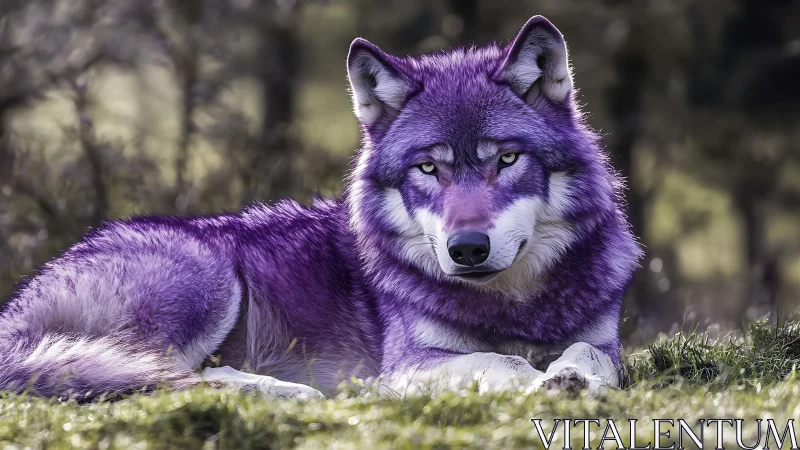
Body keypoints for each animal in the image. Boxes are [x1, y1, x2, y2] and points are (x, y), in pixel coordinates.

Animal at [0, 16, 640, 401]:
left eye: (506, 159)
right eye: (427, 169)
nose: (467, 249)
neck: (518, 308)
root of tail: (15, 312)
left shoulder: (604, 337)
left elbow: (594, 353)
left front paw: (573, 374)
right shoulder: (410, 363)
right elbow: (501, 363)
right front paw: (539, 378)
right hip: (205, 278)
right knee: (171, 374)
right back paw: (300, 393)